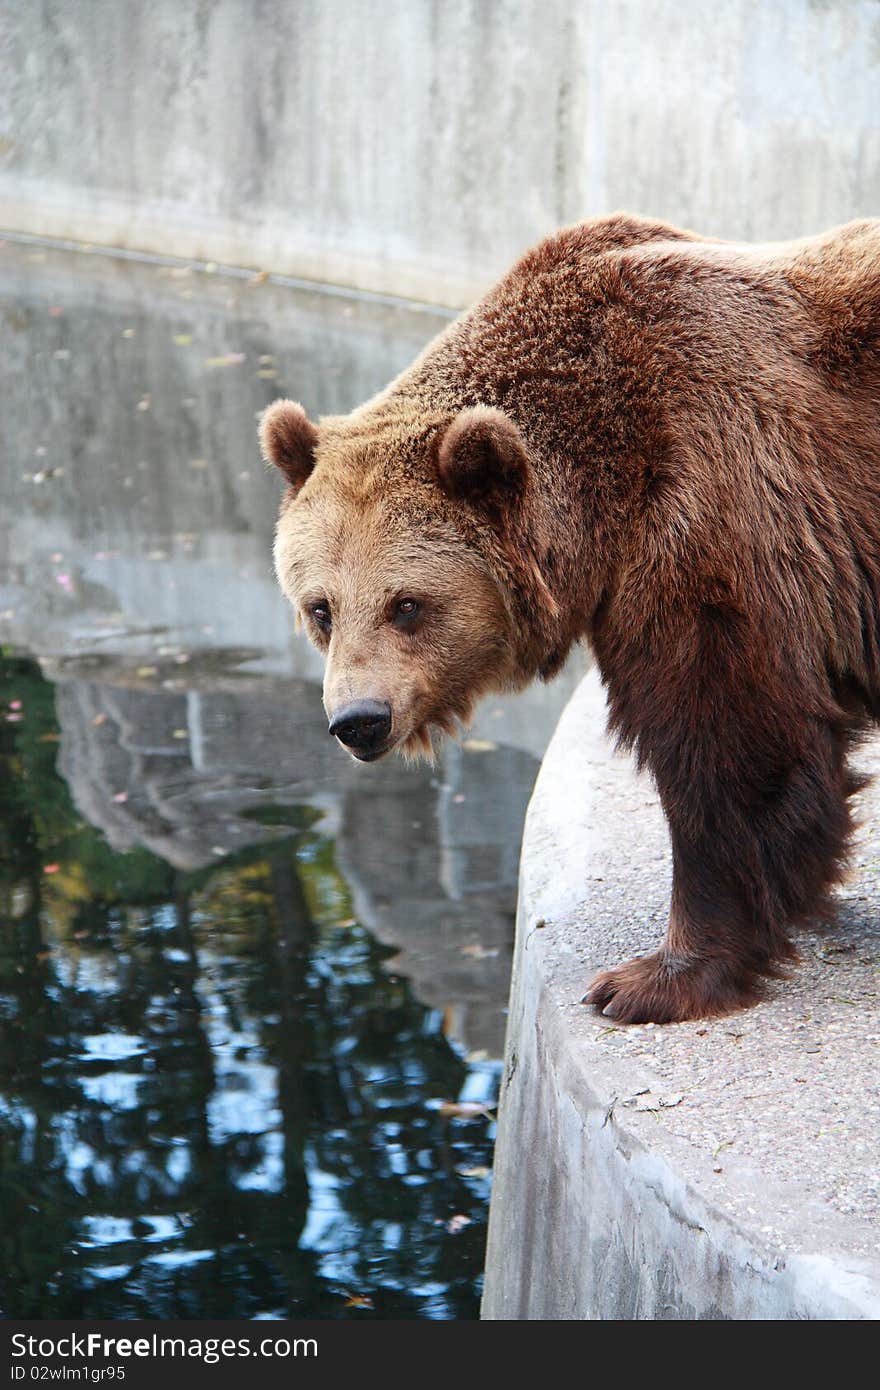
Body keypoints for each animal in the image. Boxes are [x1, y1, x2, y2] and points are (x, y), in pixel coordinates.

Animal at [258, 214, 878, 1023]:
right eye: (321, 608)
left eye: (407, 605)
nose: (358, 719)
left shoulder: (718, 506)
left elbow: (729, 741)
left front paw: (651, 979)